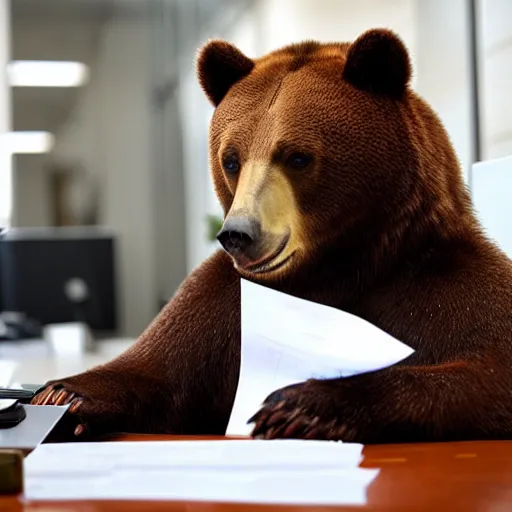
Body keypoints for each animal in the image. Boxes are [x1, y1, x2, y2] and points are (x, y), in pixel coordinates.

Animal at [32, 29, 512, 444]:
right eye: (231, 159)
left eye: (297, 156)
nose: (238, 234)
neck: (336, 265)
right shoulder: (222, 301)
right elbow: (157, 367)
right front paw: (61, 395)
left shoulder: (440, 282)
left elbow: (486, 369)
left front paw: (299, 406)